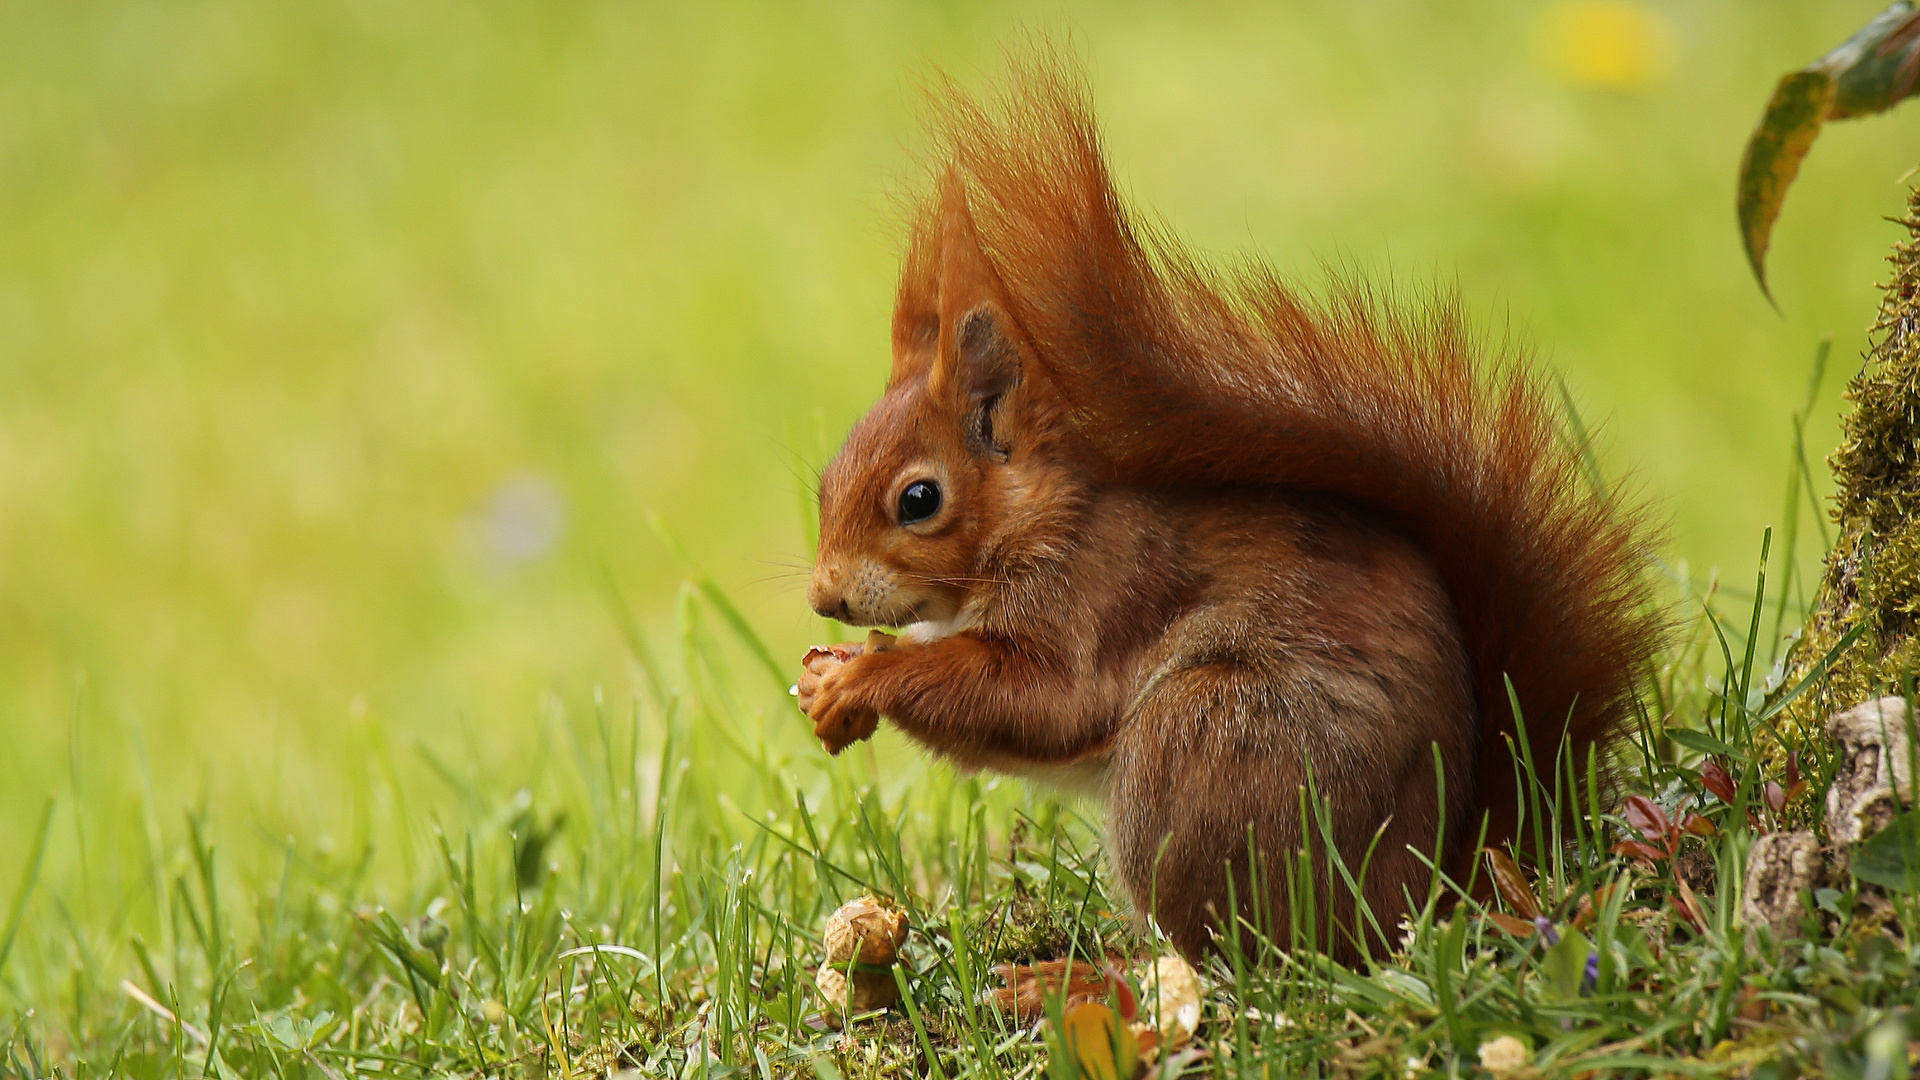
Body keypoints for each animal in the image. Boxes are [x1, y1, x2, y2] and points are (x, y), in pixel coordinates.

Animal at [787, 56, 1658, 957]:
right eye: (827, 480)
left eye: (919, 500)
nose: (824, 597)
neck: (1043, 525)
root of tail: (1432, 891)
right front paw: (829, 677)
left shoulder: (1102, 598)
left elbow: (1041, 701)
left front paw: (868, 677)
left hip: (1210, 746)